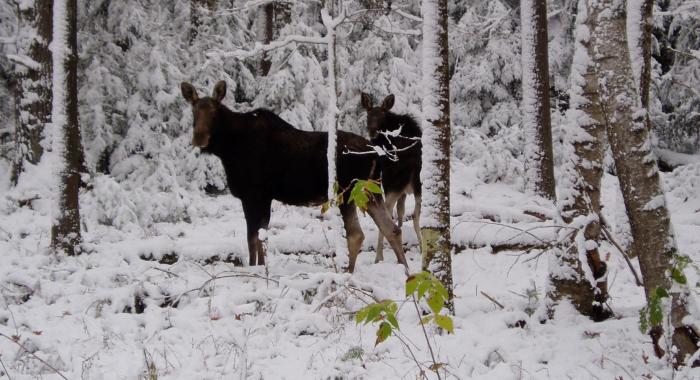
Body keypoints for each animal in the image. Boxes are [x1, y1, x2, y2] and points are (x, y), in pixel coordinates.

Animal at [182, 81, 410, 274]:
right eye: (193, 111)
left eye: (214, 112)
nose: (199, 137)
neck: (228, 150)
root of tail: (376, 154)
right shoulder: (259, 198)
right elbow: (257, 238)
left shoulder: (255, 195)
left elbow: (254, 238)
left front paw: (257, 270)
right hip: (370, 191)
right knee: (392, 229)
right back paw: (405, 271)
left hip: (348, 191)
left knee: (357, 234)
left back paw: (349, 273)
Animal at [360, 93, 422, 262]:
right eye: (368, 114)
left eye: (382, 115)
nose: (372, 131)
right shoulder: (404, 191)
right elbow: (401, 212)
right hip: (416, 185)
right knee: (415, 215)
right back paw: (422, 248)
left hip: (393, 184)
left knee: (386, 215)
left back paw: (379, 257)